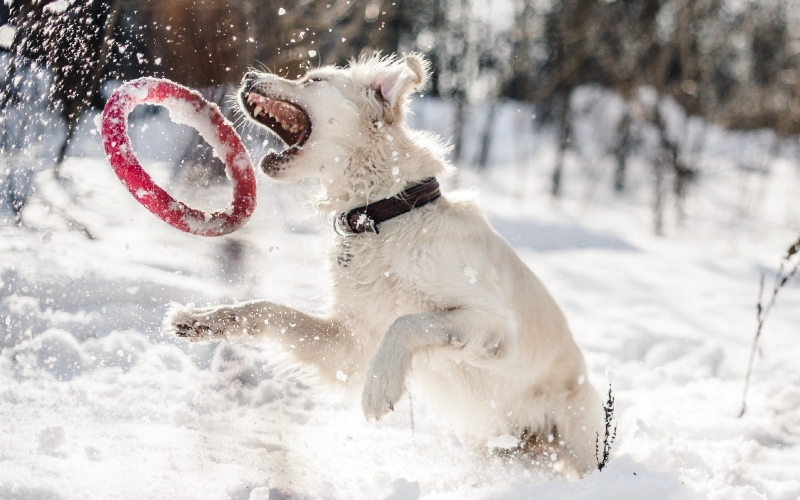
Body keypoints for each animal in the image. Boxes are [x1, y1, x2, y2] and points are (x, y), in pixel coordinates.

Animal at [166, 52, 604, 474]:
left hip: (577, 439)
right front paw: (202, 319)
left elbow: (408, 321)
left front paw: (380, 386)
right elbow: (267, 309)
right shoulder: (350, 343)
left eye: (313, 80)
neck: (385, 214)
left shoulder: (494, 324)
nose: (247, 77)